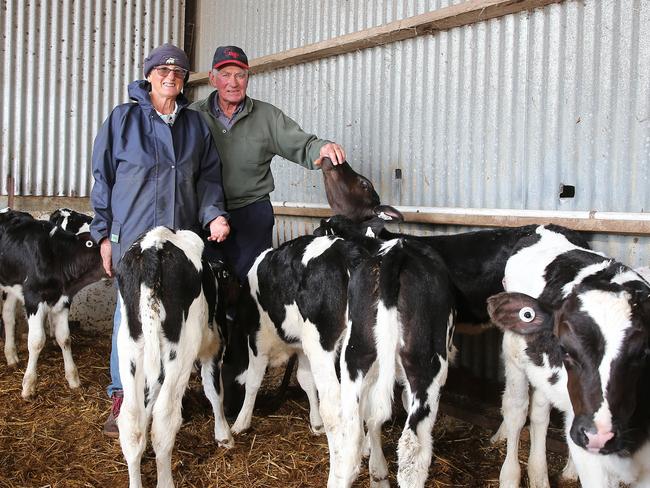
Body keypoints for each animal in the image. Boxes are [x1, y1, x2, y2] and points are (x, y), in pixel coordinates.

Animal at [0, 208, 105, 398]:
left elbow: (65, 337)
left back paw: (11, 356)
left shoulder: (63, 301)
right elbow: (36, 341)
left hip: (11, 285)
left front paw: (73, 379)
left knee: (9, 316)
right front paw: (28, 385)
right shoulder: (33, 299)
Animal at [115, 228, 234, 488]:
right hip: (181, 351)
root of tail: (152, 247)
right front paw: (224, 435)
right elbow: (214, 391)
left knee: (131, 421)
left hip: (129, 348)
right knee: (164, 420)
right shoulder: (215, 347)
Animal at [334, 238, 456, 486]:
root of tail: (396, 251)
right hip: (427, 368)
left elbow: (372, 417)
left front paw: (377, 471)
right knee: (412, 450)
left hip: (355, 358)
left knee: (348, 442)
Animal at [486, 226, 648, 488]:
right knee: (516, 410)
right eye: (566, 348)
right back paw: (510, 476)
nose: (599, 433)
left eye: (643, 352)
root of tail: (546, 226)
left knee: (540, 412)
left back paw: (543, 474)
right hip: (514, 352)